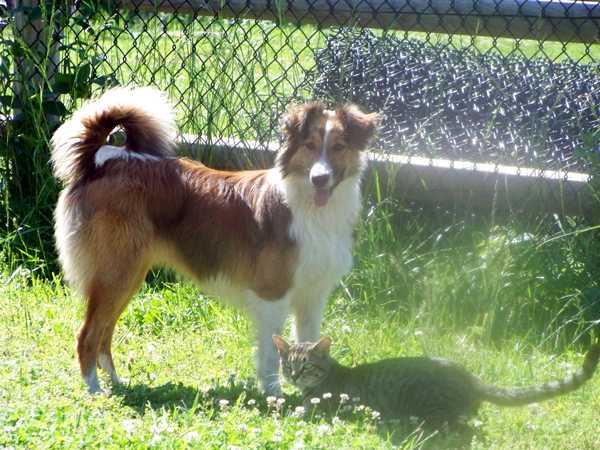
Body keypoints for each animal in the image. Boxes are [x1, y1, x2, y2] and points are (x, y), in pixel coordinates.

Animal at [54, 85, 378, 394]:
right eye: (309, 146)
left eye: (338, 147)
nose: (319, 178)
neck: (310, 208)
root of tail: (103, 163)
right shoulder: (272, 295)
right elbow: (271, 354)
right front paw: (274, 393)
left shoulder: (313, 297)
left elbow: (309, 345)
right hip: (115, 273)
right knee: (87, 335)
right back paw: (94, 390)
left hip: (127, 276)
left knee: (104, 334)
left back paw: (117, 383)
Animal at [274, 334, 600, 426]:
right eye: (288, 366)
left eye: (306, 366)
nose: (294, 376)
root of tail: (469, 376)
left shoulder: (319, 406)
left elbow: (295, 409)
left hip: (429, 403)